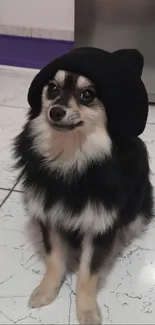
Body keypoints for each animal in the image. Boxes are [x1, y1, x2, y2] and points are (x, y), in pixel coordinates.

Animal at [13, 48, 153, 324]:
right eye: (52, 89)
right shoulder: (49, 214)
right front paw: (46, 292)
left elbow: (88, 274)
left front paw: (86, 311)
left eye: (87, 94)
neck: (73, 159)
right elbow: (54, 260)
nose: (55, 111)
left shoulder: (100, 226)